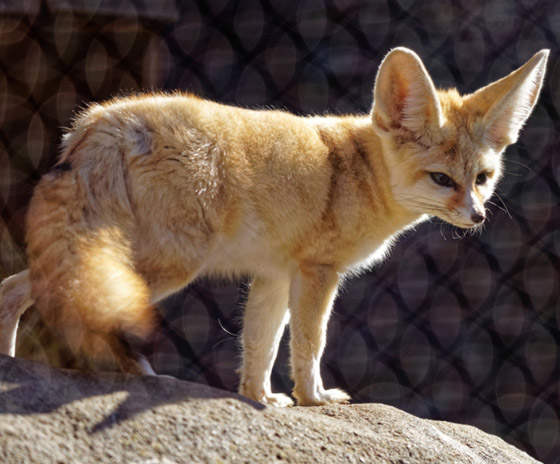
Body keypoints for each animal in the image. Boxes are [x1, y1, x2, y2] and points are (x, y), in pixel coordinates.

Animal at [0, 47, 549, 406]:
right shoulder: (318, 273)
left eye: (482, 179)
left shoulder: (274, 276)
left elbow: (259, 345)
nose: (477, 216)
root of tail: (102, 120)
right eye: (441, 180)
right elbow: (309, 342)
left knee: (13, 287)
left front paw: (260, 398)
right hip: (165, 267)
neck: (359, 172)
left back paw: (10, 363)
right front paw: (314, 398)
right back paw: (142, 374)